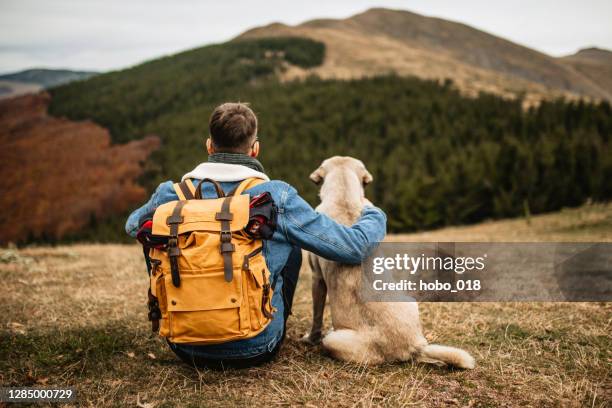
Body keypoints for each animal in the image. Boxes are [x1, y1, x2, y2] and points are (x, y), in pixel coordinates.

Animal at [298, 157, 476, 370]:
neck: (345, 196)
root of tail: (413, 345)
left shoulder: (316, 278)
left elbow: (316, 316)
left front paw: (310, 338)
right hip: (410, 302)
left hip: (334, 340)